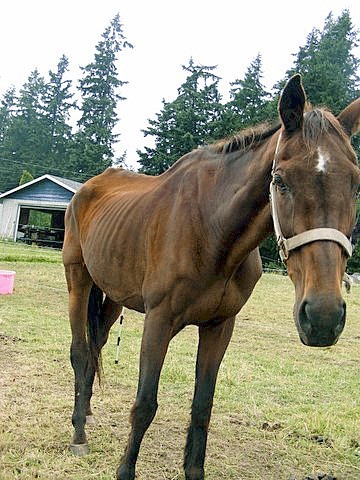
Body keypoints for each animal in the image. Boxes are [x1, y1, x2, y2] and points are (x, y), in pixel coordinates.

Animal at [63, 75, 358, 480]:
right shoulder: (159, 320)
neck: (211, 229)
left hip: (114, 296)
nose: (323, 316)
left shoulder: (220, 326)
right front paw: (124, 470)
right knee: (80, 352)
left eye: (355, 184)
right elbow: (145, 404)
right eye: (280, 180)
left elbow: (202, 406)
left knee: (96, 347)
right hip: (77, 278)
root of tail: (86, 189)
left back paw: (88, 411)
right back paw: (78, 432)